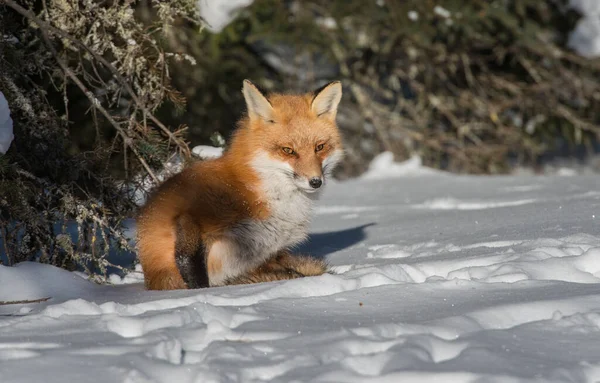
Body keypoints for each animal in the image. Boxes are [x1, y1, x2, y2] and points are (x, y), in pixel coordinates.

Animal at [136, 81, 342, 292]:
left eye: (319, 147)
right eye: (288, 150)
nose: (315, 181)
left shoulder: (266, 254)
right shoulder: (194, 213)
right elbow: (190, 264)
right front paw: (199, 291)